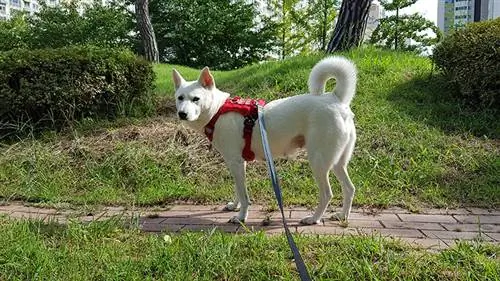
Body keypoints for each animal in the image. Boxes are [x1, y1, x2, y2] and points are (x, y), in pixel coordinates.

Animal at [174, 55, 358, 224]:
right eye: (180, 98)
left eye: (196, 99)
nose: (182, 114)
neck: (217, 110)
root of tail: (335, 98)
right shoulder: (238, 164)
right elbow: (238, 189)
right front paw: (235, 206)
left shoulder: (236, 162)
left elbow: (244, 195)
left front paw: (241, 217)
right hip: (337, 162)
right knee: (349, 188)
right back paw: (342, 216)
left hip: (319, 161)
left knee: (327, 193)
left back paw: (314, 218)